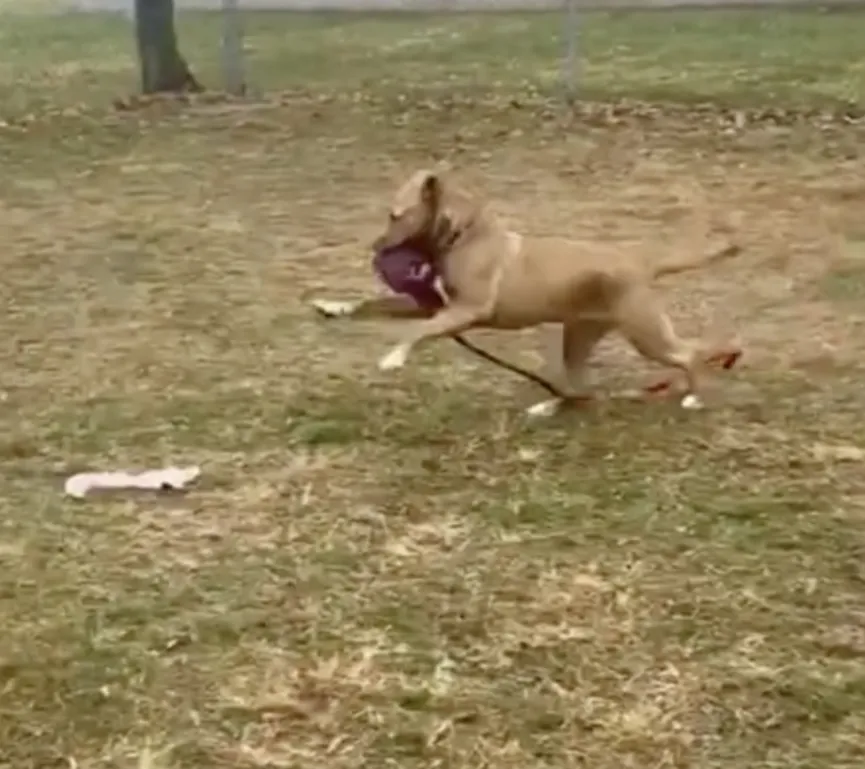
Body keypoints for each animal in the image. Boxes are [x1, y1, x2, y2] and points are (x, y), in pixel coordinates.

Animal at [312, 170, 744, 416]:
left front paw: (393, 358)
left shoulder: (464, 311)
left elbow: (415, 332)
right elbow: (373, 304)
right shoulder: (434, 308)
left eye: (394, 215)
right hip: (580, 338)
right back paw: (549, 405)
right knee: (580, 387)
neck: (462, 236)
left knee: (689, 354)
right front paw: (334, 306)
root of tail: (639, 260)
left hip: (646, 335)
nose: (373, 247)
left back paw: (695, 396)